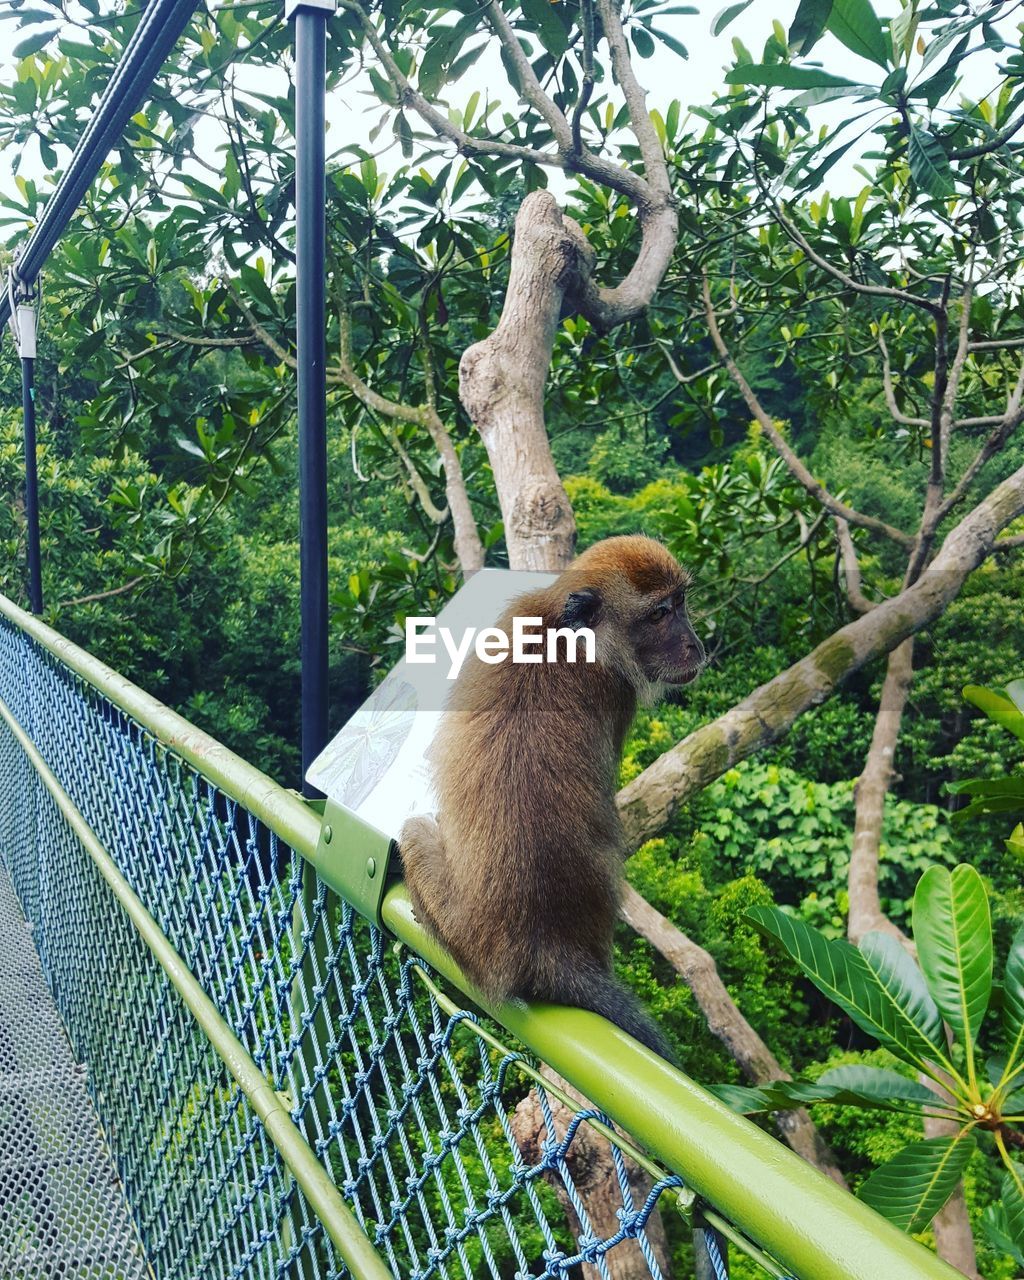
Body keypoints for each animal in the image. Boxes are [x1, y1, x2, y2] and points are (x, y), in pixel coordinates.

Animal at [399, 532, 706, 1059]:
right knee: (415, 828)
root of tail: (547, 948)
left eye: (681, 602)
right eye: (658, 614)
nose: (694, 644)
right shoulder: (616, 690)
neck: (563, 628)